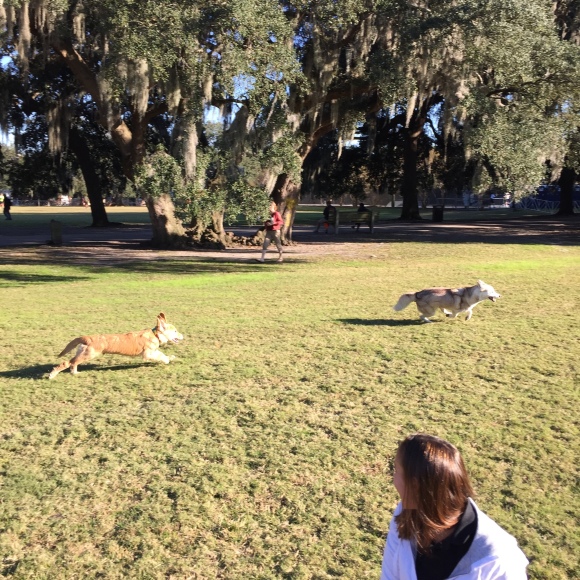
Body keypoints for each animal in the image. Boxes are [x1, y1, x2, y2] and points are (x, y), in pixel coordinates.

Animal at [49, 312, 182, 380]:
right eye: (175, 331)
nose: (183, 336)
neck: (155, 335)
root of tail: (87, 337)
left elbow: (162, 353)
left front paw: (171, 357)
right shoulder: (148, 353)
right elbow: (160, 355)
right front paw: (167, 360)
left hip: (82, 353)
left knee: (73, 363)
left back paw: (75, 373)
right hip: (88, 354)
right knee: (66, 363)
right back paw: (52, 375)